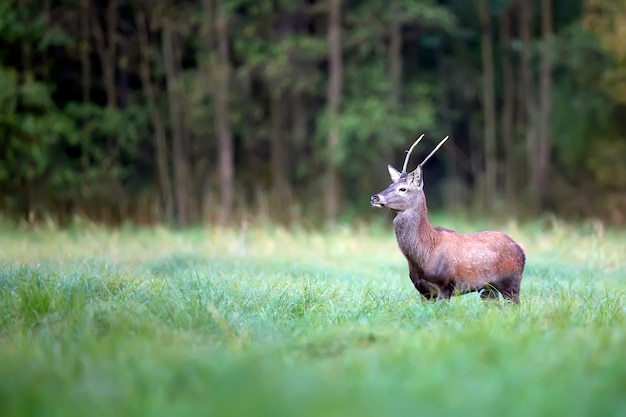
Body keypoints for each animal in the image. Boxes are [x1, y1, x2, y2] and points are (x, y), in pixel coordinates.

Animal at [368, 136, 524, 302]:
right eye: (391, 184)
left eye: (402, 189)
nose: (375, 197)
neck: (425, 256)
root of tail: (521, 249)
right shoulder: (423, 292)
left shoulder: (445, 285)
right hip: (487, 289)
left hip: (511, 282)